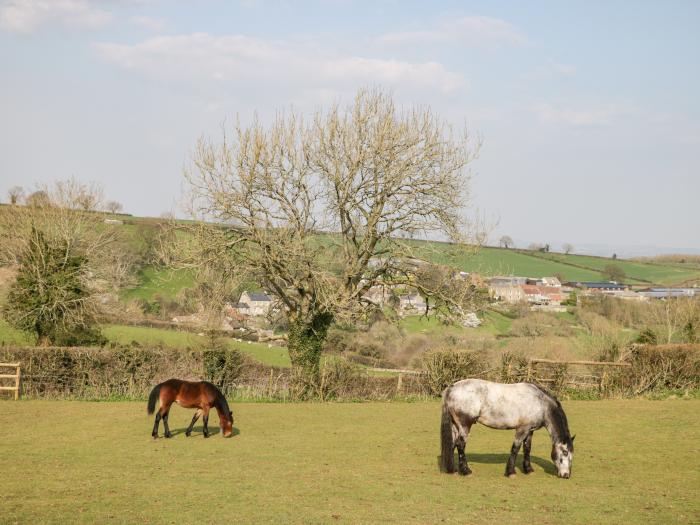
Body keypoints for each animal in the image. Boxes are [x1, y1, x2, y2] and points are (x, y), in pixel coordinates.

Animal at [440, 378, 576, 476]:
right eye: (565, 452)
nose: (566, 475)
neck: (540, 403)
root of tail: (452, 387)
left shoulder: (530, 430)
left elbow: (527, 448)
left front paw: (528, 469)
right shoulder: (522, 429)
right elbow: (515, 448)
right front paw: (510, 472)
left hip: (456, 426)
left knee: (452, 444)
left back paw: (452, 470)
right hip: (464, 426)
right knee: (460, 445)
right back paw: (465, 471)